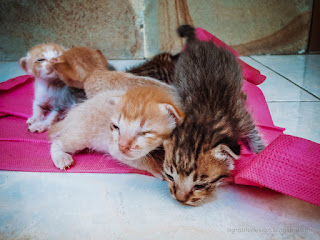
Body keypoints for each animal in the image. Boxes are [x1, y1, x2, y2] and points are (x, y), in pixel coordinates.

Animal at [48, 86, 184, 178]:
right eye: (116, 127)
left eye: (144, 132)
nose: (122, 145)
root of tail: (74, 113)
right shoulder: (114, 148)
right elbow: (139, 159)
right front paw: (157, 167)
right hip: (80, 135)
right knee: (58, 141)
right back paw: (61, 157)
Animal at [162, 24, 264, 206]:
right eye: (169, 176)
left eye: (200, 185)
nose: (180, 199)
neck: (204, 116)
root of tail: (197, 43)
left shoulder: (241, 117)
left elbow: (254, 132)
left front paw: (260, 151)